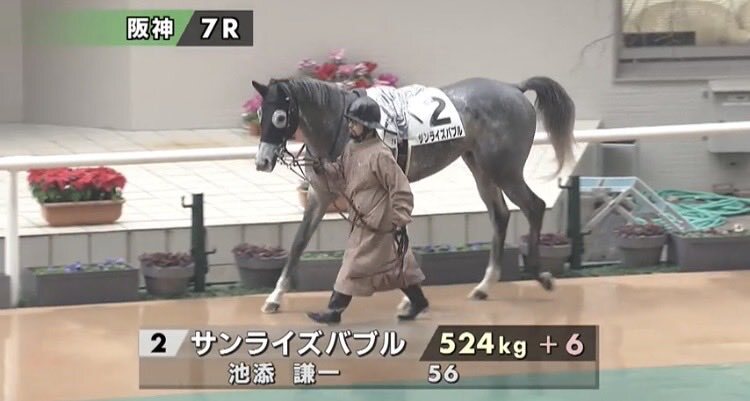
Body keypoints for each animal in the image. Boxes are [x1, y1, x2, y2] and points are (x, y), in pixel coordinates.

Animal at [250, 76, 575, 314]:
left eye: (279, 117)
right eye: (260, 113)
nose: (262, 161)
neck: (343, 127)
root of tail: (515, 89)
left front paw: (408, 296)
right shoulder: (321, 195)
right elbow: (298, 244)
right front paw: (275, 297)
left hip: (505, 170)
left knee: (534, 206)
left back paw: (541, 275)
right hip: (480, 168)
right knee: (501, 215)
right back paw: (484, 286)